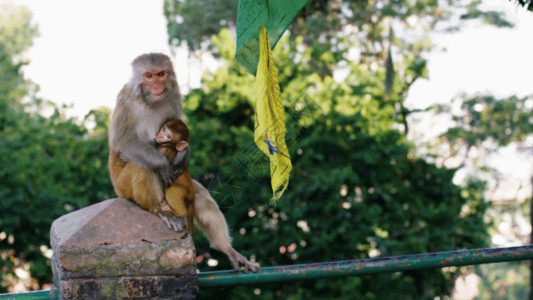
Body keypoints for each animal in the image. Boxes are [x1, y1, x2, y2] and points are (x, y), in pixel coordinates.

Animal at [108, 53, 260, 272]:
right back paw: (158, 210)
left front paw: (182, 154)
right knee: (143, 167)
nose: (156, 85)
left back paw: (226, 248)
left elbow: (180, 129)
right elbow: (124, 142)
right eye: (148, 76)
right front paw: (162, 164)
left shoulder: (174, 96)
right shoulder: (126, 99)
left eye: (160, 74)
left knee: (200, 196)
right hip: (122, 187)